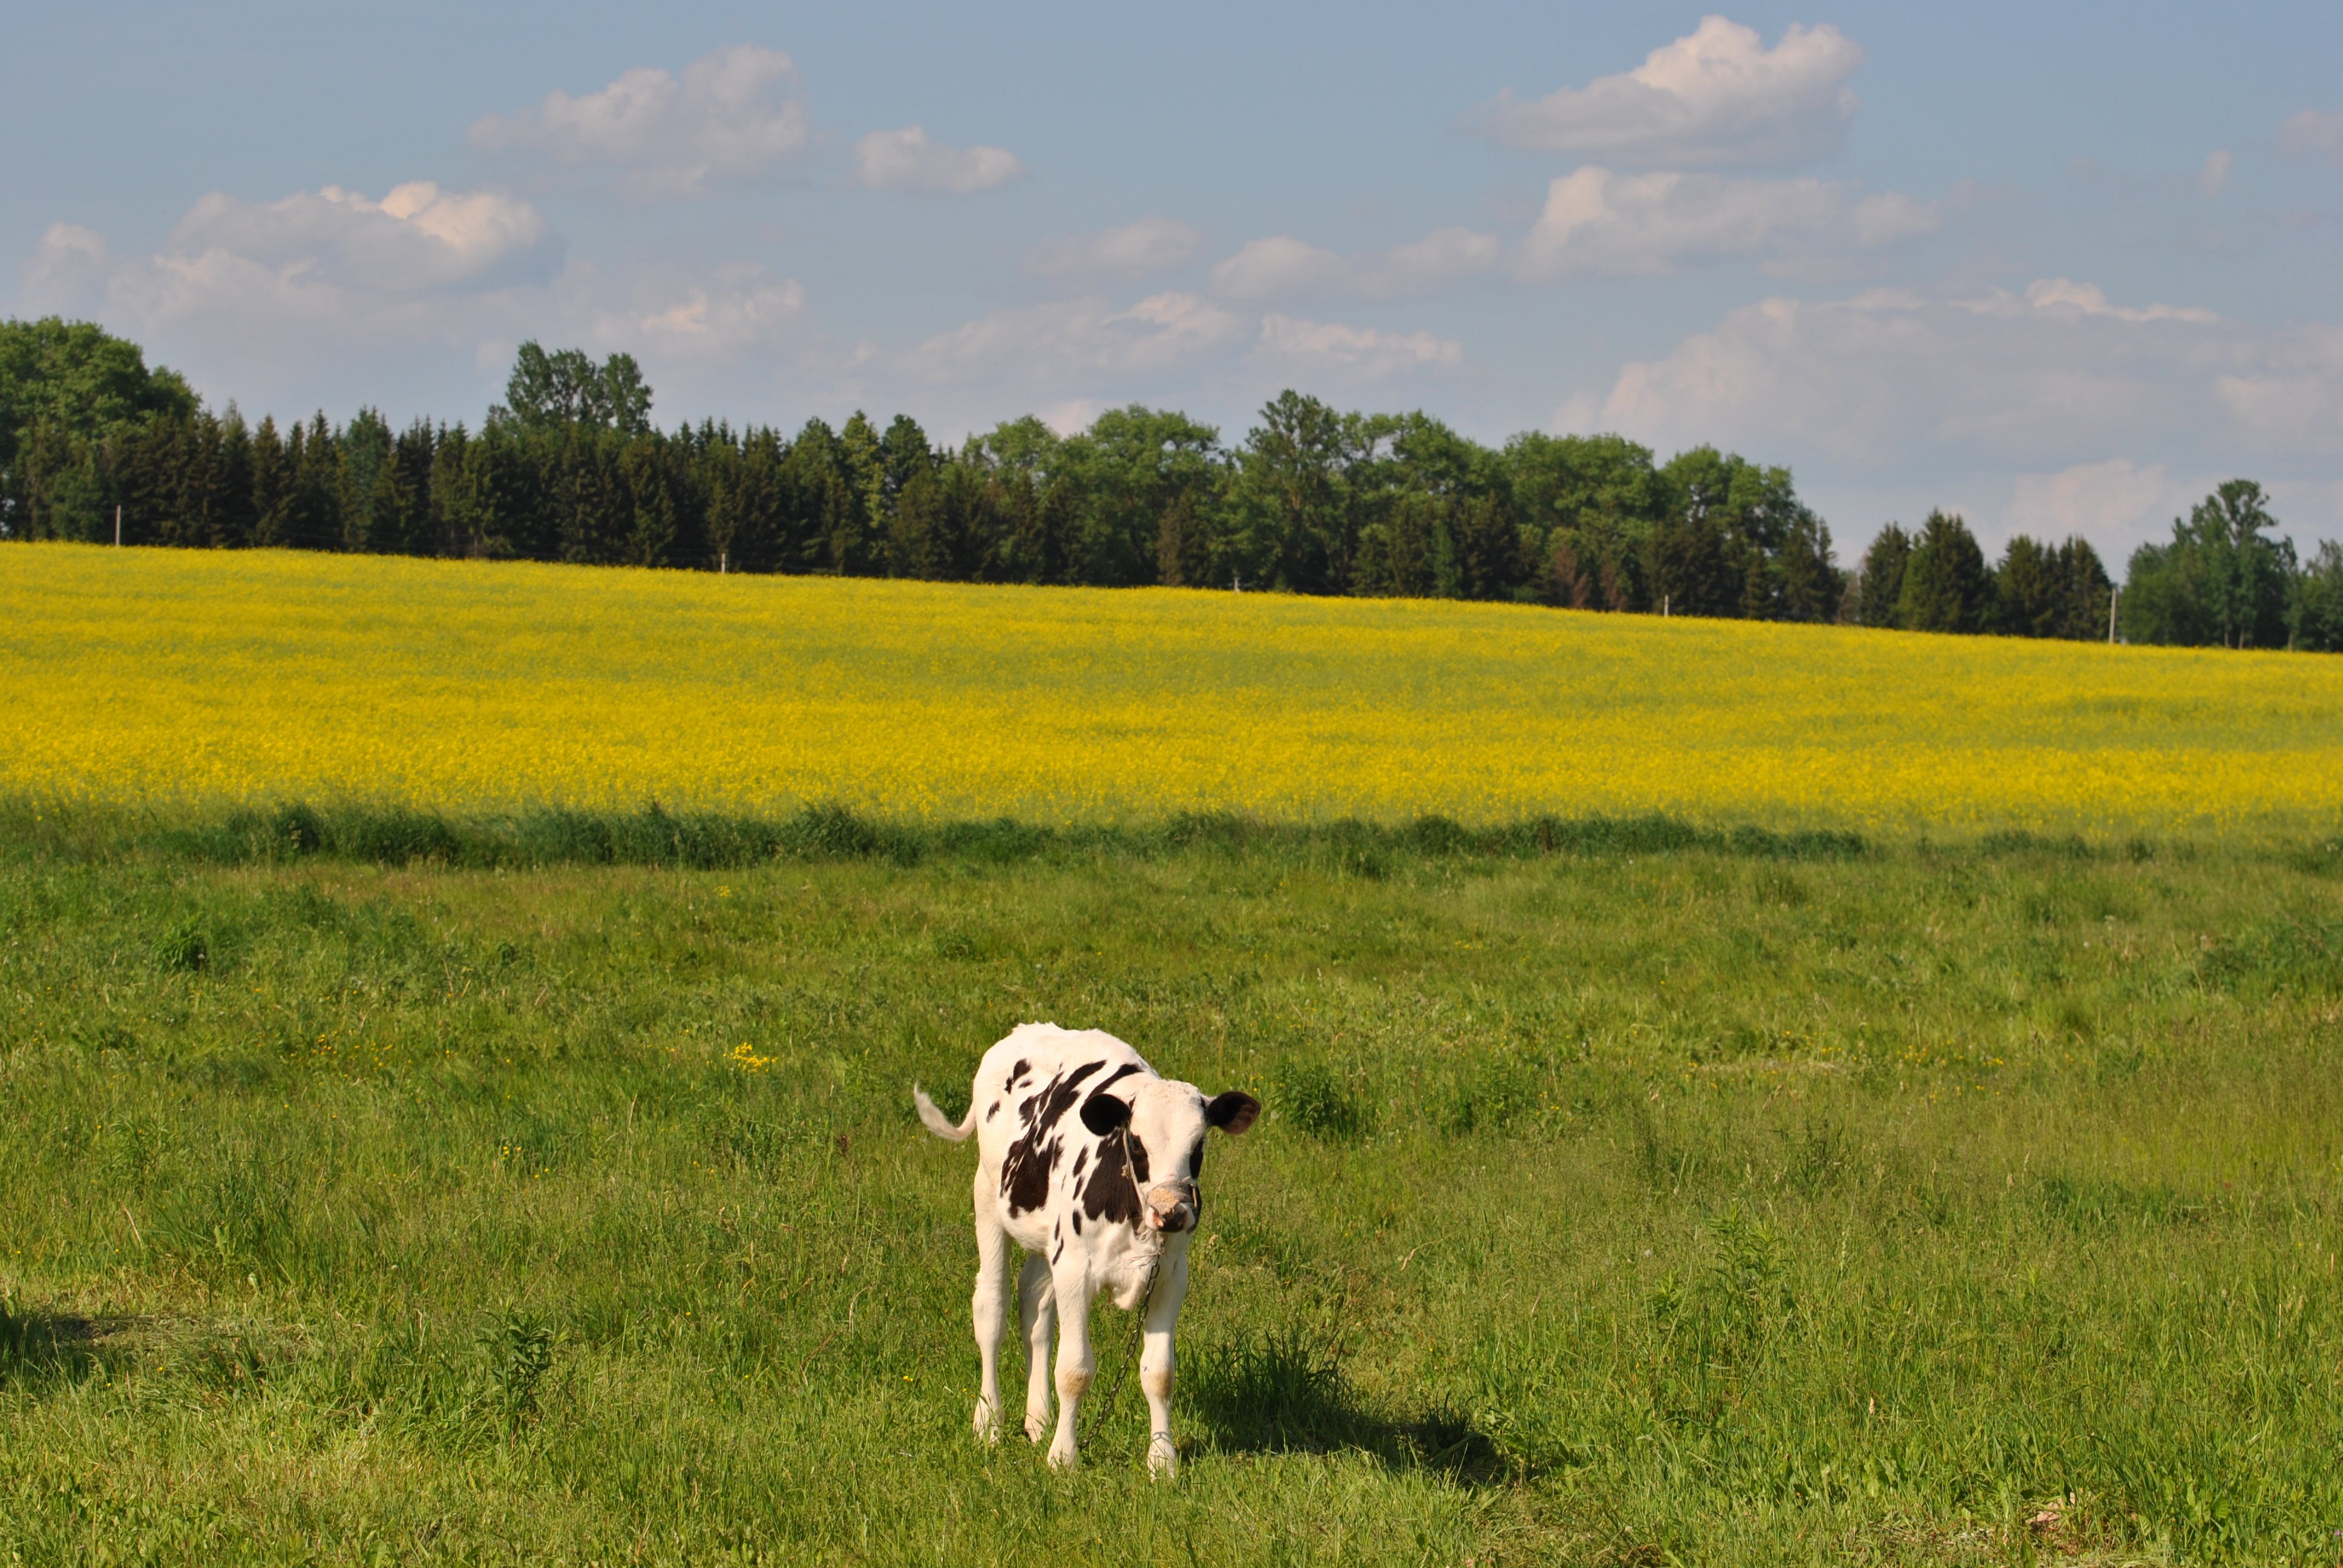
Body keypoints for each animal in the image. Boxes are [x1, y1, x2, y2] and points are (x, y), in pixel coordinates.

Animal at [909, 1022, 1256, 1472]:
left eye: (1198, 1147)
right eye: (1138, 1143)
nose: (1171, 1212)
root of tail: (1025, 1030)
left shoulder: (1170, 1277)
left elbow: (1160, 1373)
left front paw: (1162, 1461)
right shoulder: (1076, 1271)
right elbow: (1074, 1371)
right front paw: (1064, 1457)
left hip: (1047, 1237)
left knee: (1035, 1306)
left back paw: (1038, 1420)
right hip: (987, 1196)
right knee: (991, 1308)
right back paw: (988, 1423)